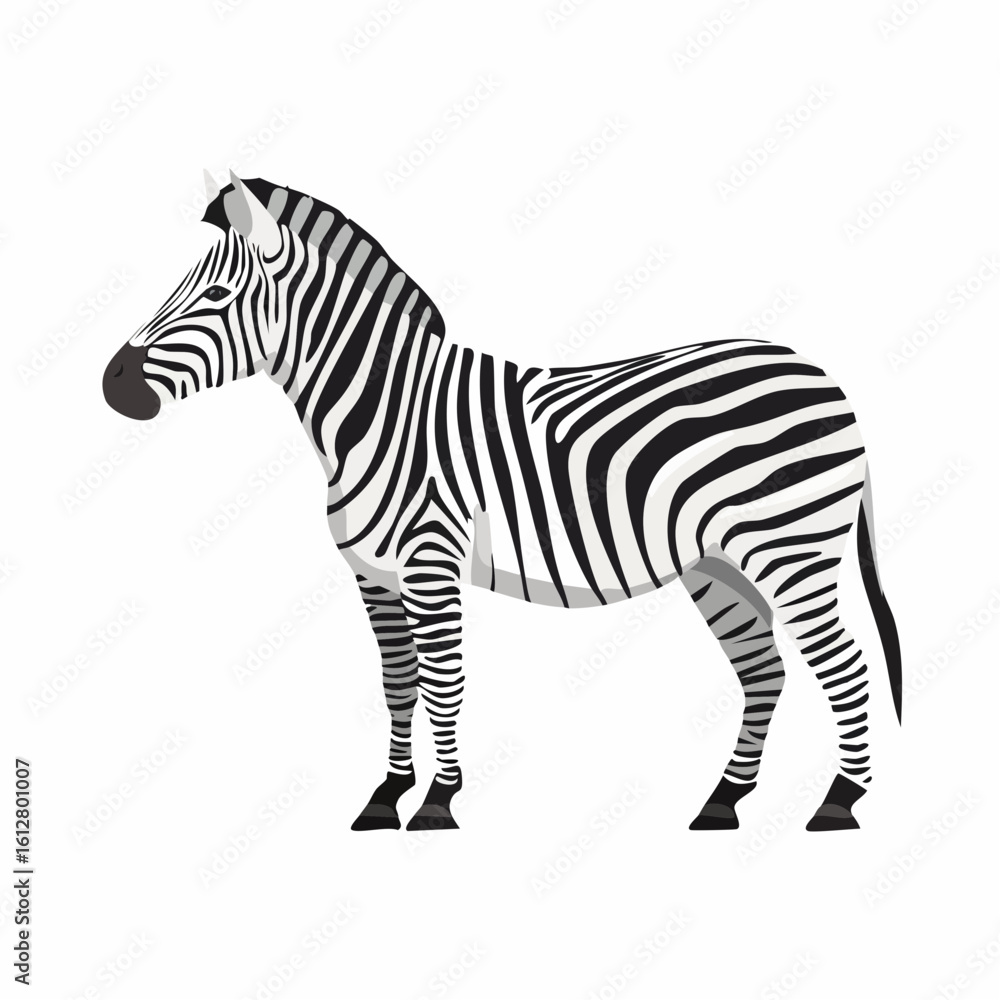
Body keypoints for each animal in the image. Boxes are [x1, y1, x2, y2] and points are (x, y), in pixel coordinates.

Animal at [103, 170, 902, 834]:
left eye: (215, 297)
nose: (113, 388)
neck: (382, 409)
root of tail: (824, 375)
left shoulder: (430, 560)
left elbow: (445, 681)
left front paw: (436, 803)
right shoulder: (372, 574)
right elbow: (398, 684)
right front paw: (386, 798)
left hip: (790, 551)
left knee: (845, 665)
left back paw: (838, 804)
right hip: (718, 566)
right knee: (765, 670)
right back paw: (723, 804)